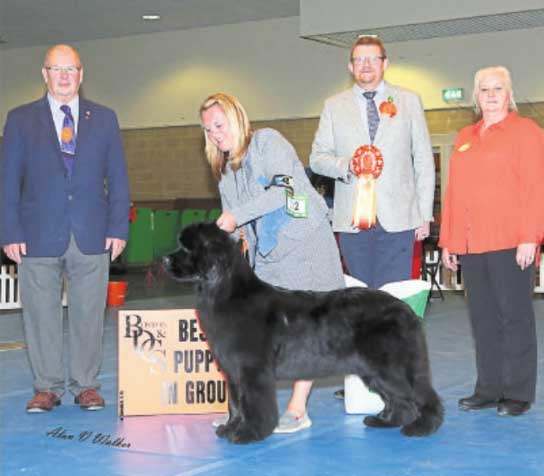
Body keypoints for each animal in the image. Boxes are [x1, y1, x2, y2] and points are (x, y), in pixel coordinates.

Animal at [164, 222, 444, 442]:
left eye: (187, 249)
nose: (165, 260)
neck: (225, 292)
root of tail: (405, 308)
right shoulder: (232, 372)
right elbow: (235, 403)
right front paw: (229, 428)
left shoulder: (253, 370)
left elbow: (252, 403)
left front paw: (247, 434)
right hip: (374, 371)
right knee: (400, 400)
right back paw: (385, 421)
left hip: (392, 366)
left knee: (422, 394)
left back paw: (423, 427)